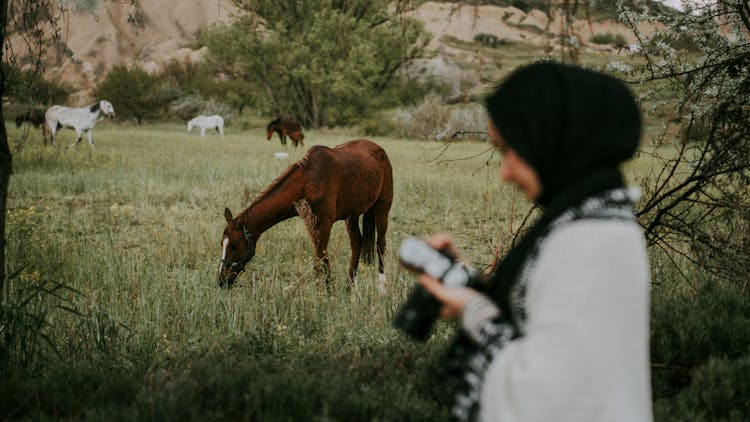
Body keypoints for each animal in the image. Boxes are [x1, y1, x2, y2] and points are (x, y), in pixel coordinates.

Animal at [217, 138, 394, 286]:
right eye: (221, 243)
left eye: (233, 246)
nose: (221, 280)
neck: (309, 182)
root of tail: (379, 149)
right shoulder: (312, 225)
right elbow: (319, 263)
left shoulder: (324, 225)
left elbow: (322, 262)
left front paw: (327, 295)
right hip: (351, 216)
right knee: (357, 244)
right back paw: (349, 288)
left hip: (382, 209)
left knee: (381, 245)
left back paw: (381, 286)